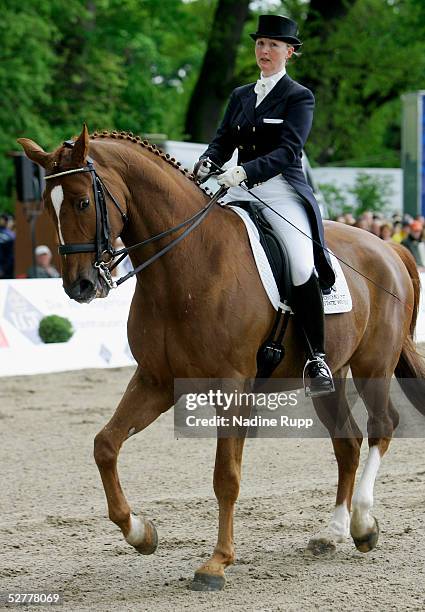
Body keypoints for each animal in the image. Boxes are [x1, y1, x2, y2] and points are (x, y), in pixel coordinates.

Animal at [18, 126, 424, 592]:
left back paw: (361, 524)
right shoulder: (156, 381)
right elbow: (105, 445)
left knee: (381, 426)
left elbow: (225, 476)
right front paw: (140, 533)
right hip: (331, 375)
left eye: (83, 201)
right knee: (348, 442)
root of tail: (389, 249)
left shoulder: (232, 386)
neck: (185, 264)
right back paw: (333, 533)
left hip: (374, 363)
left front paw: (216, 564)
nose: (80, 286)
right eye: (47, 205)